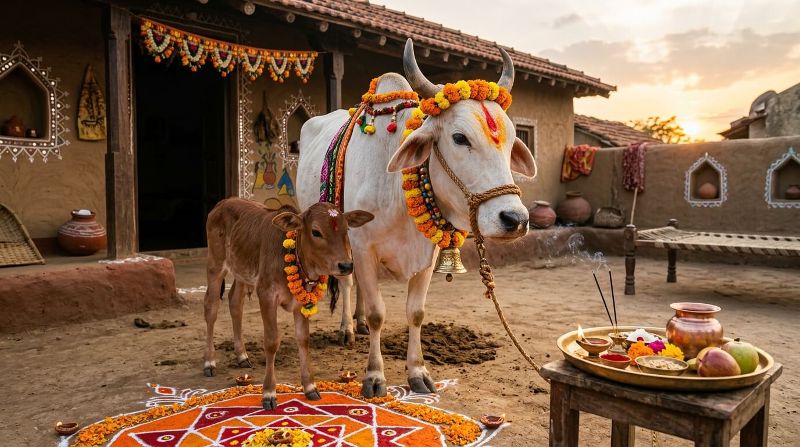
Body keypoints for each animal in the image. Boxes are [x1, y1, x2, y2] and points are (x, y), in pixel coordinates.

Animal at [202, 198, 374, 409]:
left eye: (346, 229)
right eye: (316, 232)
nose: (346, 265)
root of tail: (223, 202)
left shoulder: (301, 302)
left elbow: (303, 339)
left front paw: (310, 387)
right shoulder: (266, 294)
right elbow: (271, 342)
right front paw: (269, 393)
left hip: (242, 272)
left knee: (235, 303)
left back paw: (242, 355)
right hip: (215, 265)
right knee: (211, 308)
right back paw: (209, 362)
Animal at [297, 39, 537, 398]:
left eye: (510, 142)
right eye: (459, 138)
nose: (514, 219)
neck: (397, 190)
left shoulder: (428, 254)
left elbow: (416, 313)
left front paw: (418, 372)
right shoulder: (363, 248)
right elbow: (377, 313)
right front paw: (375, 376)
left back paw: (355, 323)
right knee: (348, 282)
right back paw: (347, 328)